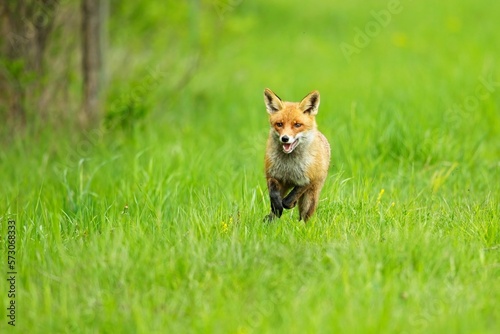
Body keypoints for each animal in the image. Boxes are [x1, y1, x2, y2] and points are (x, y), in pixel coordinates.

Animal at [264, 88, 330, 222]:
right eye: (279, 124)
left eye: (297, 125)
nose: (285, 138)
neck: (289, 166)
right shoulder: (271, 174)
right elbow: (273, 195)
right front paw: (277, 207)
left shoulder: (310, 178)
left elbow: (292, 196)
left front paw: (289, 203)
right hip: (284, 186)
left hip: (310, 197)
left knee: (304, 217)